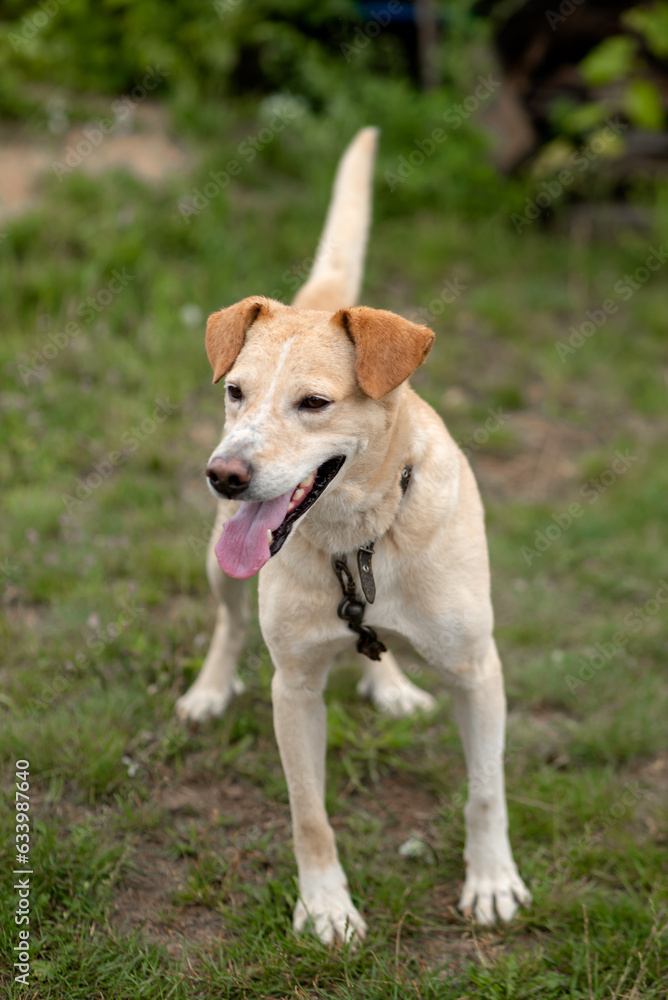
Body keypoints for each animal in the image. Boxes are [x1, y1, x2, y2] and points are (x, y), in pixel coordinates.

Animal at [175, 129, 528, 940]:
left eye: (314, 403)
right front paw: (326, 908)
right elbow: (309, 816)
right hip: (216, 564)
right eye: (235, 392)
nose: (224, 476)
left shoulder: (478, 671)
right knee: (227, 623)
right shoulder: (295, 687)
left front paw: (492, 881)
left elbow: (486, 789)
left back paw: (388, 682)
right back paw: (209, 690)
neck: (359, 541)